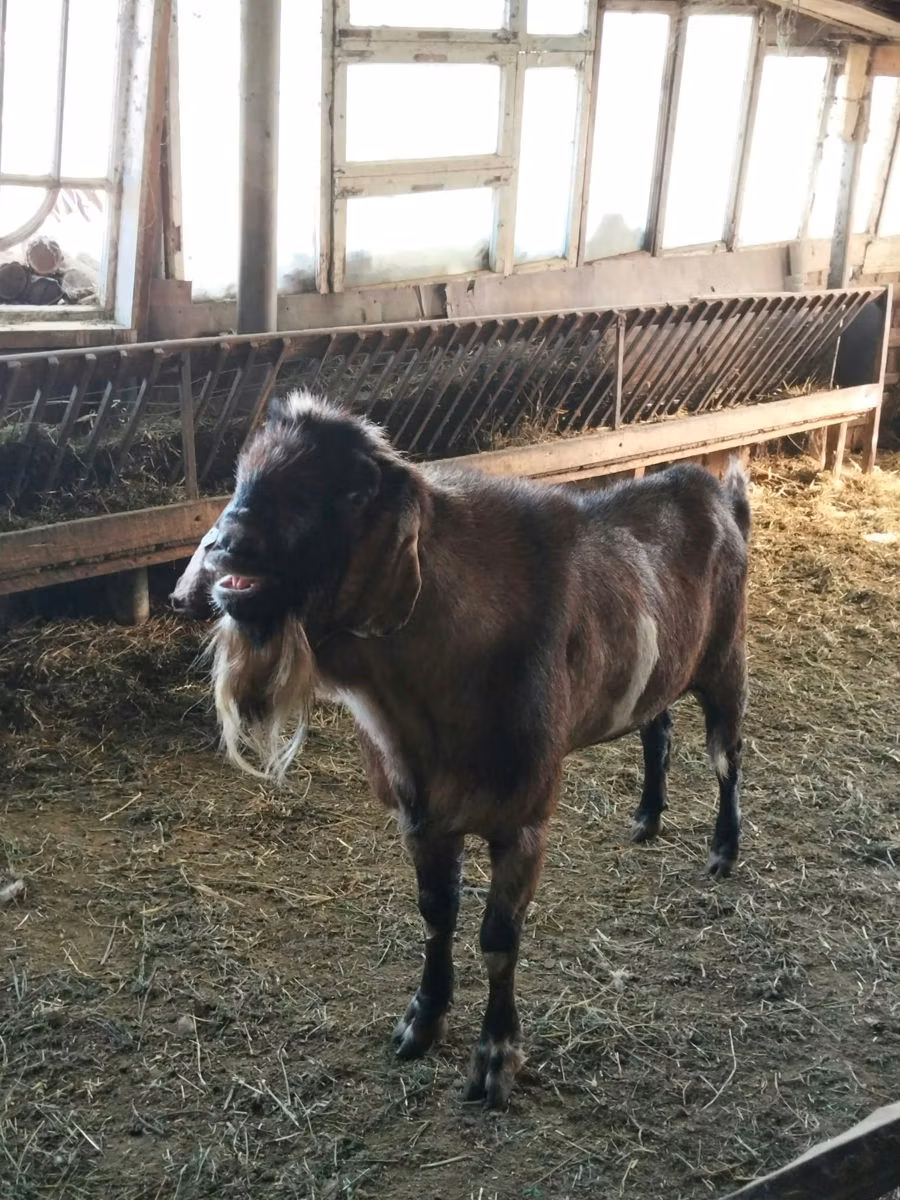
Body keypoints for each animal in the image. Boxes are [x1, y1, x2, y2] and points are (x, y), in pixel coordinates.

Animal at [171, 392, 751, 1108]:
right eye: (242, 474)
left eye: (352, 489)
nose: (227, 546)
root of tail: (722, 494)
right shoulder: (422, 816)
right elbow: (435, 917)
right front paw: (421, 1022)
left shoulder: (522, 820)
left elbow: (498, 939)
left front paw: (495, 1060)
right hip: (663, 668)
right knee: (657, 728)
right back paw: (646, 818)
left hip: (725, 659)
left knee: (727, 755)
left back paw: (723, 850)